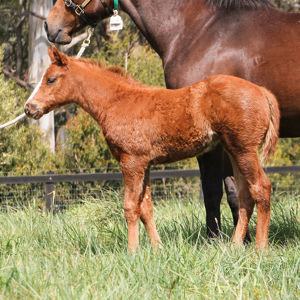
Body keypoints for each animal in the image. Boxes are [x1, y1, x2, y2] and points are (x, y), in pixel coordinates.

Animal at [24, 47, 280, 252]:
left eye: (50, 79)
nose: (29, 108)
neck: (117, 102)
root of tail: (262, 91)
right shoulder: (144, 163)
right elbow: (146, 207)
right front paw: (157, 249)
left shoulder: (131, 160)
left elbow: (130, 206)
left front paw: (132, 251)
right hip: (234, 151)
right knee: (245, 195)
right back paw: (235, 247)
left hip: (244, 150)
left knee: (261, 188)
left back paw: (260, 248)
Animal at [44, 0, 300, 239]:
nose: (49, 25)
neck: (203, 30)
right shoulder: (225, 142)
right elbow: (234, 192)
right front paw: (240, 240)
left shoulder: (210, 142)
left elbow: (213, 191)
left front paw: (214, 239)